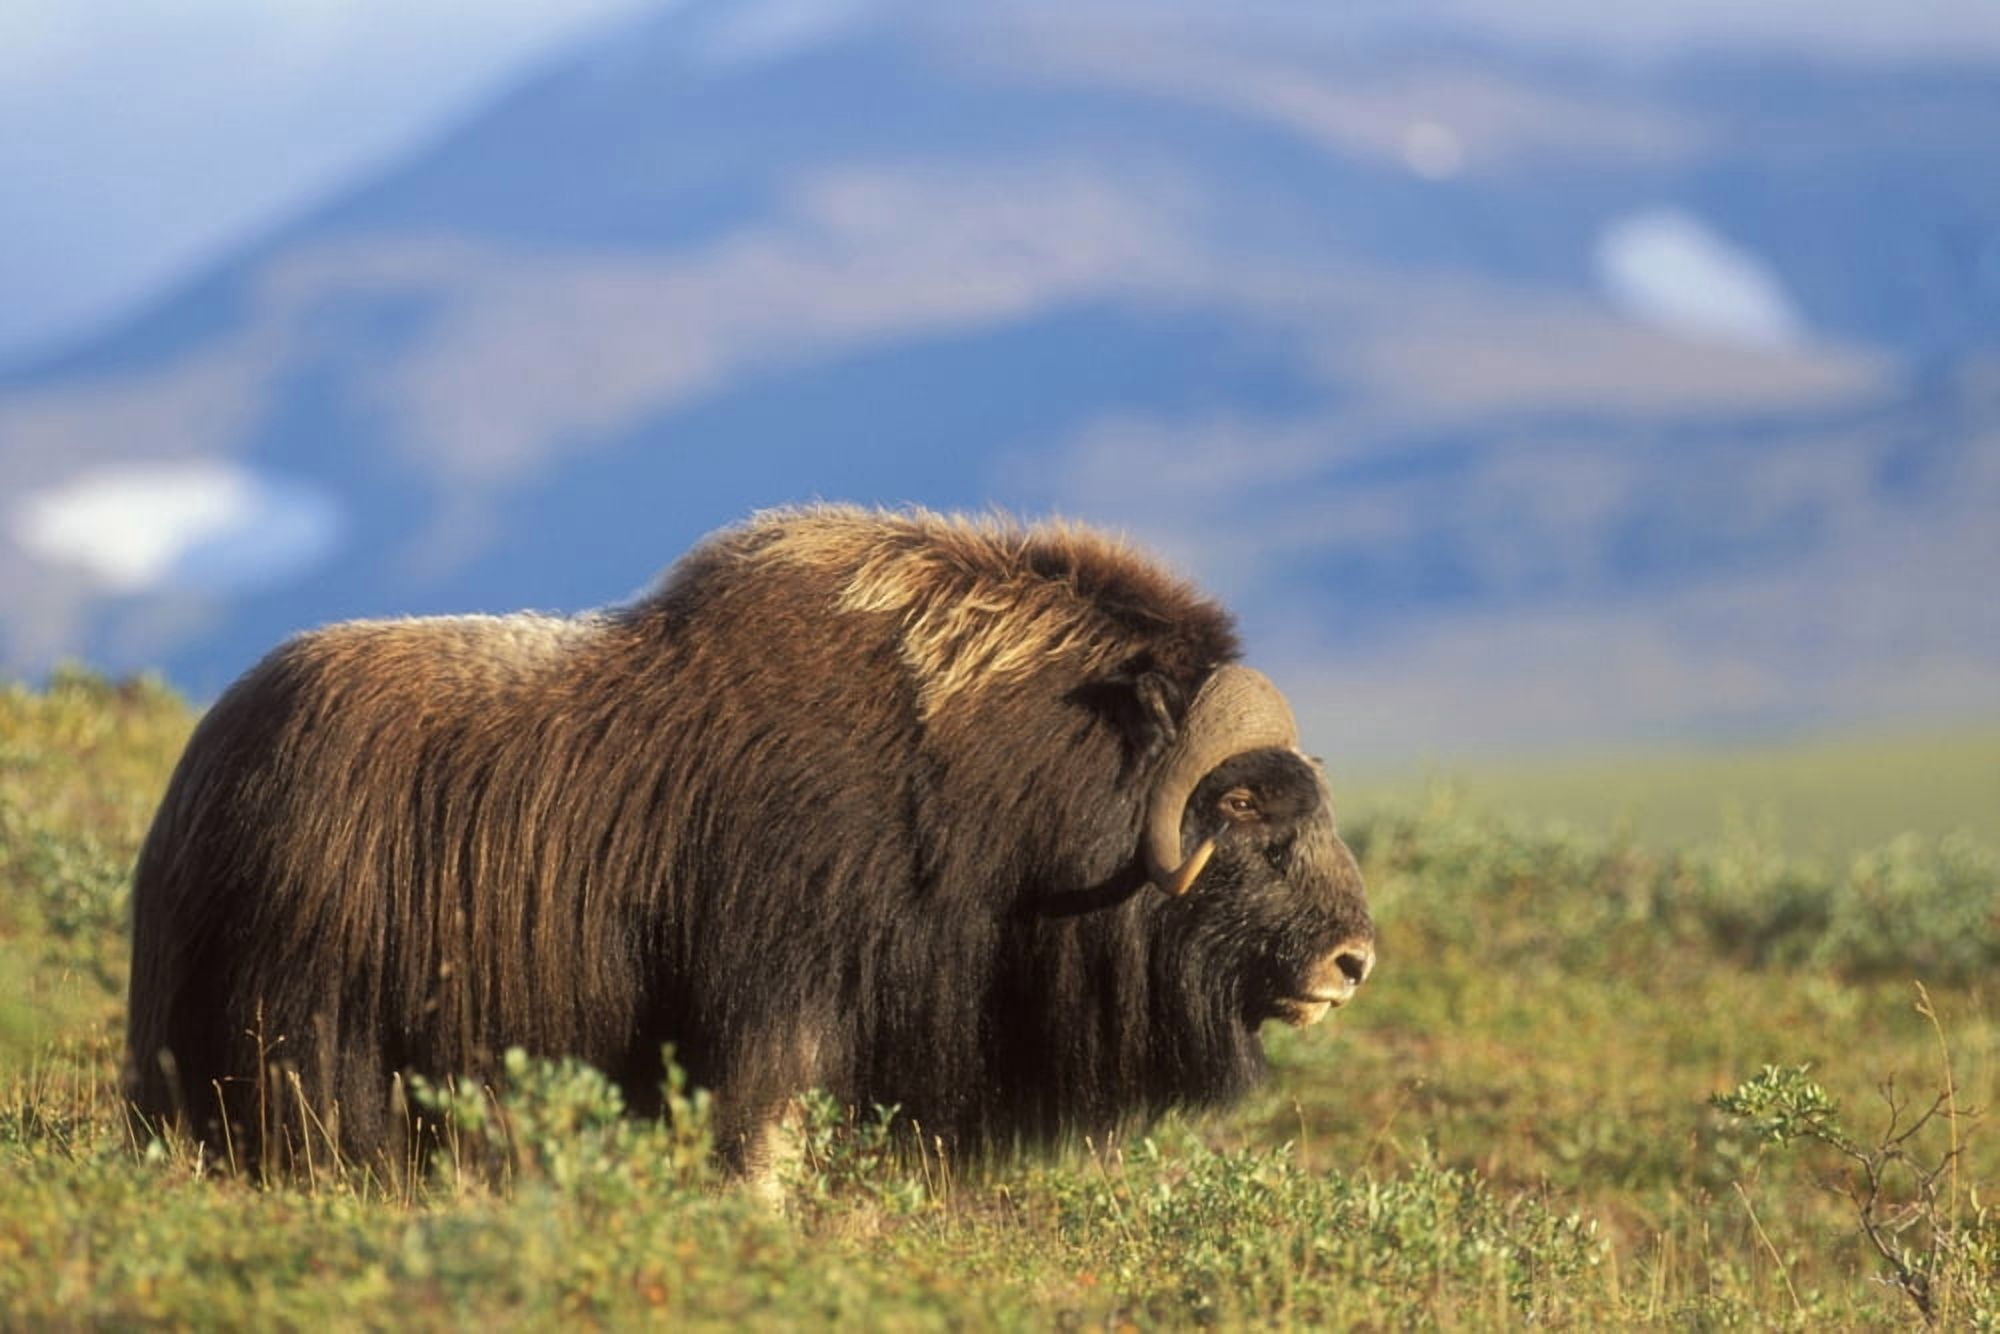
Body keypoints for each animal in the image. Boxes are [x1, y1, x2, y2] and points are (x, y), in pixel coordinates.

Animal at [123, 506, 1374, 1180]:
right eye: (1245, 805)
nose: (1352, 961)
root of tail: (202, 767)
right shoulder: (775, 1012)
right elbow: (761, 1149)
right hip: (308, 1036)